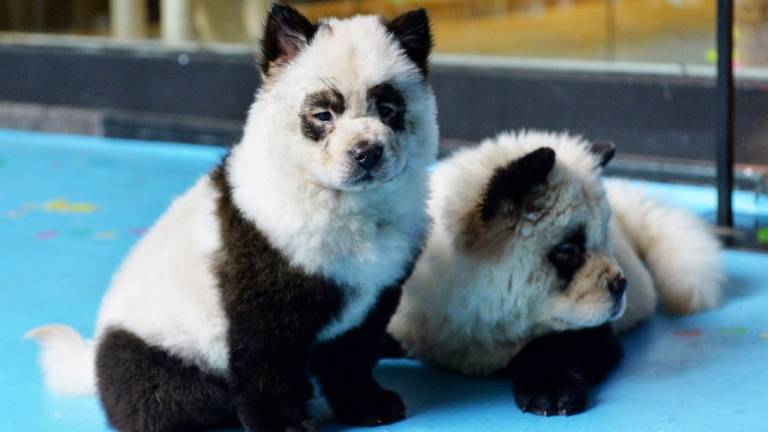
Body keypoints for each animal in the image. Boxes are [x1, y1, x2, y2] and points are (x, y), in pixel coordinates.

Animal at [28, 4, 438, 432]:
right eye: (323, 114)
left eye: (389, 111)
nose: (367, 152)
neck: (346, 202)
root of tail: (94, 358)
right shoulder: (264, 270)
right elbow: (265, 360)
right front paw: (282, 423)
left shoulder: (380, 284)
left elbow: (353, 352)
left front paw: (367, 403)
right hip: (159, 354)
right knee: (165, 399)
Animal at [388, 130, 724, 416]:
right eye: (567, 251)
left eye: (604, 240)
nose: (620, 284)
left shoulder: (590, 328)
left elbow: (564, 345)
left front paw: (549, 392)